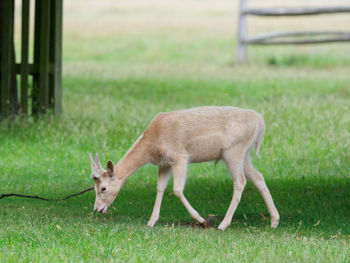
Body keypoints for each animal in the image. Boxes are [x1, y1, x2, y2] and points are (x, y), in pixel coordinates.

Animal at [89, 106, 280, 231]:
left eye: (103, 188)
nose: (97, 208)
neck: (153, 144)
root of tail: (260, 121)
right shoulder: (164, 163)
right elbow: (160, 188)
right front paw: (151, 221)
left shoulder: (179, 157)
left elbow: (177, 189)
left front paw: (202, 220)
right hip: (244, 154)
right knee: (258, 177)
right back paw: (274, 220)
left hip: (233, 151)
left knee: (240, 181)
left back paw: (223, 224)